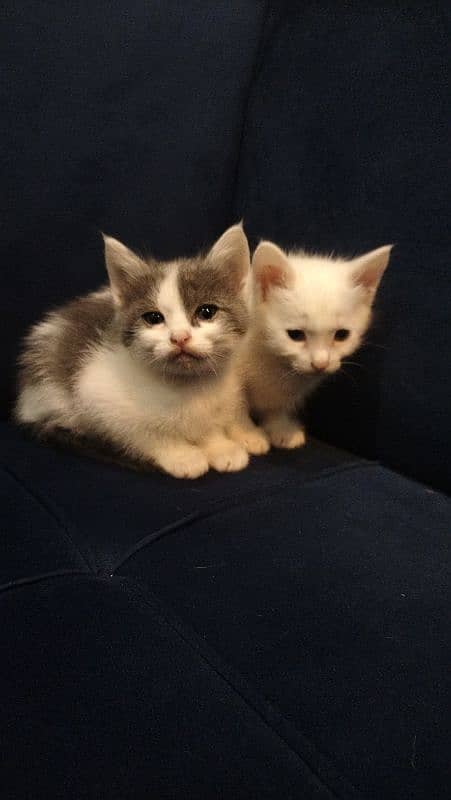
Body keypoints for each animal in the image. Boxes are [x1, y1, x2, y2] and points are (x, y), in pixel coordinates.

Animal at [15, 222, 254, 478]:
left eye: (206, 312)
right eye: (153, 318)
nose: (179, 337)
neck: (185, 387)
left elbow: (210, 424)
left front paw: (220, 447)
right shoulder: (96, 393)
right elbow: (140, 432)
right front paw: (183, 456)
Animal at [231, 239, 394, 450]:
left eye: (342, 335)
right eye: (295, 335)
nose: (320, 364)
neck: (273, 361)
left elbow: (277, 405)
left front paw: (281, 427)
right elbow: (236, 405)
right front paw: (246, 434)